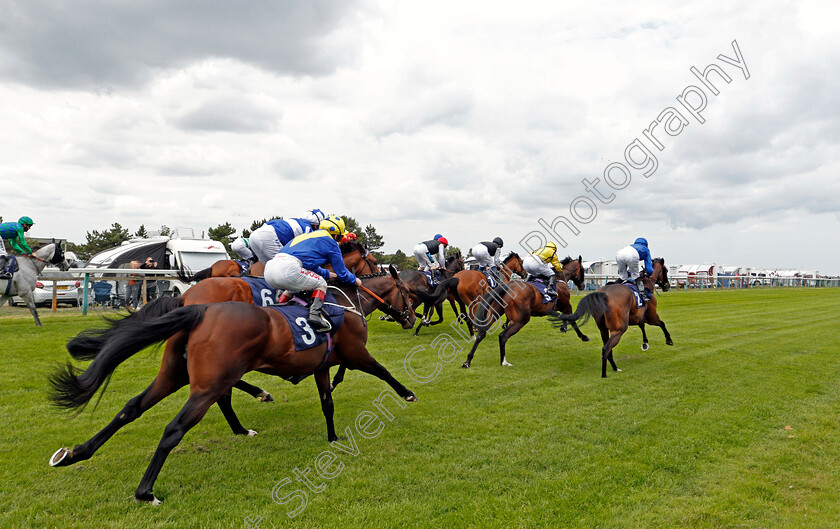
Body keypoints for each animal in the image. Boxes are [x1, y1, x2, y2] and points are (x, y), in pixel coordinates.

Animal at [47, 268, 416, 504]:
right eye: (411, 294)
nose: (413, 318)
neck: (345, 303)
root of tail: (198, 308)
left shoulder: (322, 365)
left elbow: (328, 401)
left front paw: (334, 438)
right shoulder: (355, 354)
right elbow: (383, 371)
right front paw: (407, 393)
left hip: (173, 376)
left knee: (131, 407)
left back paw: (75, 454)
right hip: (207, 384)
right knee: (175, 428)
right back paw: (145, 492)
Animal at [460, 256, 592, 368]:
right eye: (582, 270)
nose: (582, 285)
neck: (559, 279)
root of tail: (506, 287)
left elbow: (563, 317)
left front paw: (563, 328)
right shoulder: (567, 305)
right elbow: (572, 320)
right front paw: (583, 336)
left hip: (495, 312)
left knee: (482, 333)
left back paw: (468, 361)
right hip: (521, 320)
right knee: (503, 336)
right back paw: (504, 361)